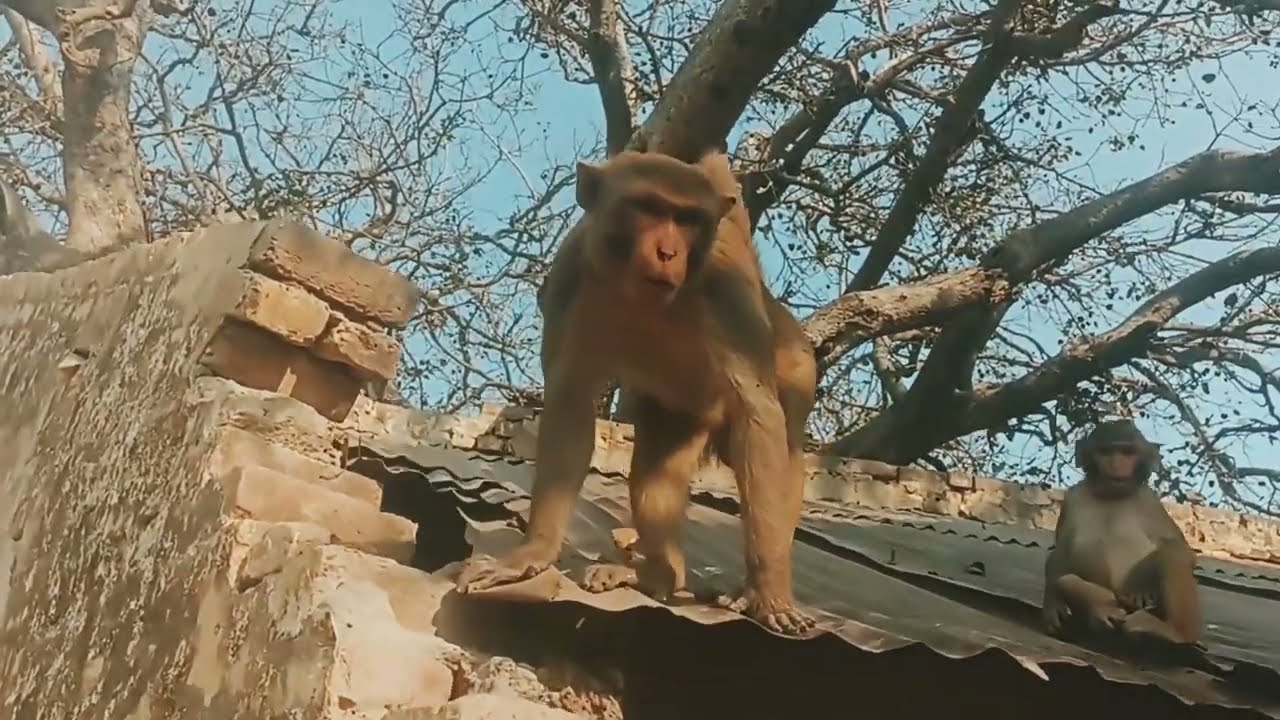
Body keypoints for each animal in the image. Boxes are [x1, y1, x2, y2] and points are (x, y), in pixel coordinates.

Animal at [455, 149, 819, 636]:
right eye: (647, 208)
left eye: (687, 218)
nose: (668, 252)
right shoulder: (570, 273)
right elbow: (569, 402)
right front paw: (532, 553)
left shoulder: (724, 283)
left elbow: (757, 410)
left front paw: (770, 593)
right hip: (680, 412)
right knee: (654, 475)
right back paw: (657, 577)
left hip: (796, 365)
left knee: (780, 452)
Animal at [1041, 419, 1202, 647]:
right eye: (1106, 452)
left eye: (1127, 452)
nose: (1116, 464)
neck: (1112, 495)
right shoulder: (1073, 497)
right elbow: (1059, 553)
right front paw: (1052, 604)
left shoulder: (1149, 501)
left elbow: (1181, 548)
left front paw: (1139, 583)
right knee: (1066, 579)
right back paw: (1101, 608)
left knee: (1172, 555)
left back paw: (1173, 631)